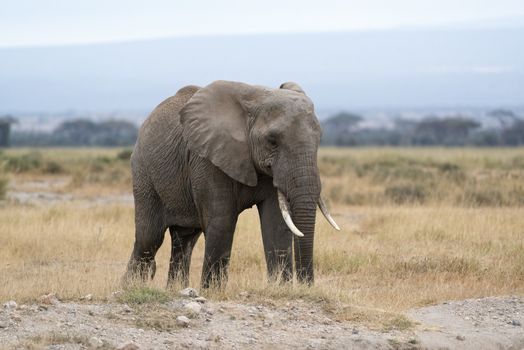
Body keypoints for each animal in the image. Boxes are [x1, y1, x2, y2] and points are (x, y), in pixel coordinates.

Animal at [126, 80, 340, 288]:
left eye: (319, 139)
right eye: (272, 141)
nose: (307, 285)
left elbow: (276, 223)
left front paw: (281, 288)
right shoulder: (207, 158)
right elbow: (222, 221)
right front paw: (213, 291)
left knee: (185, 240)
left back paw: (174, 289)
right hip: (144, 174)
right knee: (149, 238)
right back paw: (131, 286)